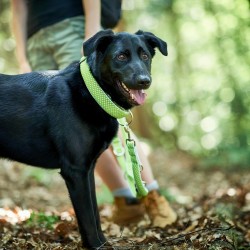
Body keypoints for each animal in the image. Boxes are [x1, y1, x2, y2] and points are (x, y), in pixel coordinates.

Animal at [0, 29, 168, 248]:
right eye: (121, 57)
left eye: (145, 56)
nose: (144, 80)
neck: (92, 92)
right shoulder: (75, 171)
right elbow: (87, 217)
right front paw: (95, 245)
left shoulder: (88, 170)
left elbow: (94, 212)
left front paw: (102, 242)